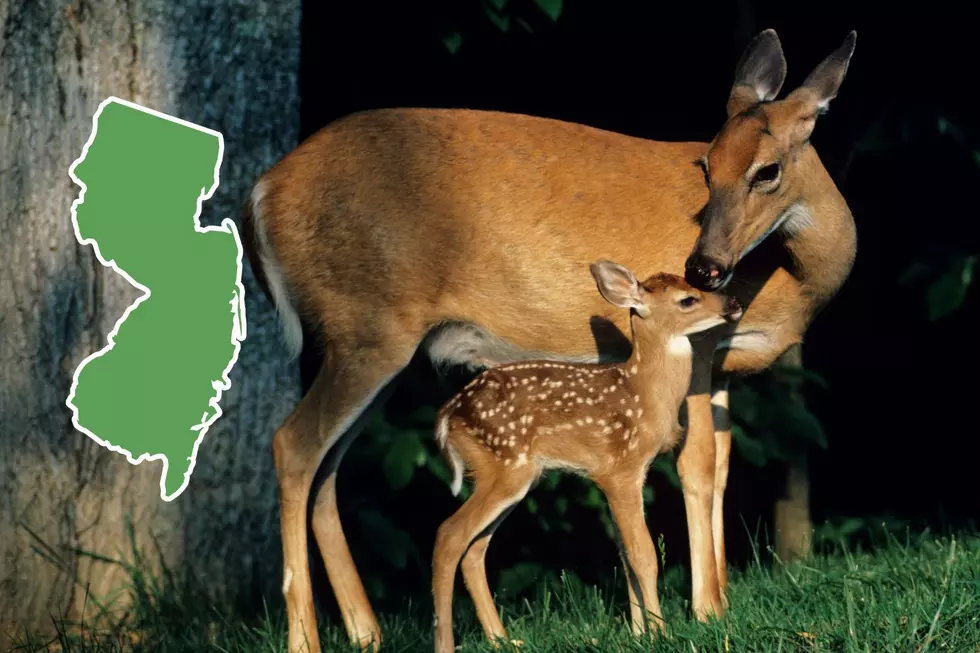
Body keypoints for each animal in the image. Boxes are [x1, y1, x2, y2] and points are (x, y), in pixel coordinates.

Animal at [432, 263, 743, 653]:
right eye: (688, 299)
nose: (733, 303)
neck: (645, 394)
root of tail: (448, 416)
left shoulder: (623, 474)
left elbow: (625, 554)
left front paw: (639, 633)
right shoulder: (619, 469)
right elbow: (643, 555)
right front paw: (661, 633)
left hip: (511, 475)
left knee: (474, 549)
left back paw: (504, 640)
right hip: (504, 465)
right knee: (449, 535)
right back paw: (446, 643)